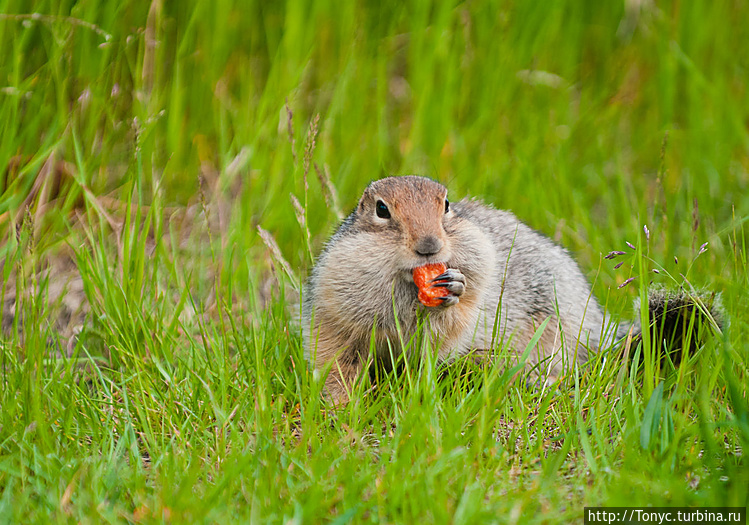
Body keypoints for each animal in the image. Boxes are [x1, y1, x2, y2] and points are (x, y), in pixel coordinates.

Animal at [300, 175, 720, 402]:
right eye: (382, 210)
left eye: (446, 206)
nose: (430, 246)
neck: (406, 284)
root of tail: (597, 325)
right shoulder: (334, 308)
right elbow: (336, 360)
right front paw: (340, 404)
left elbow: (447, 328)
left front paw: (453, 289)